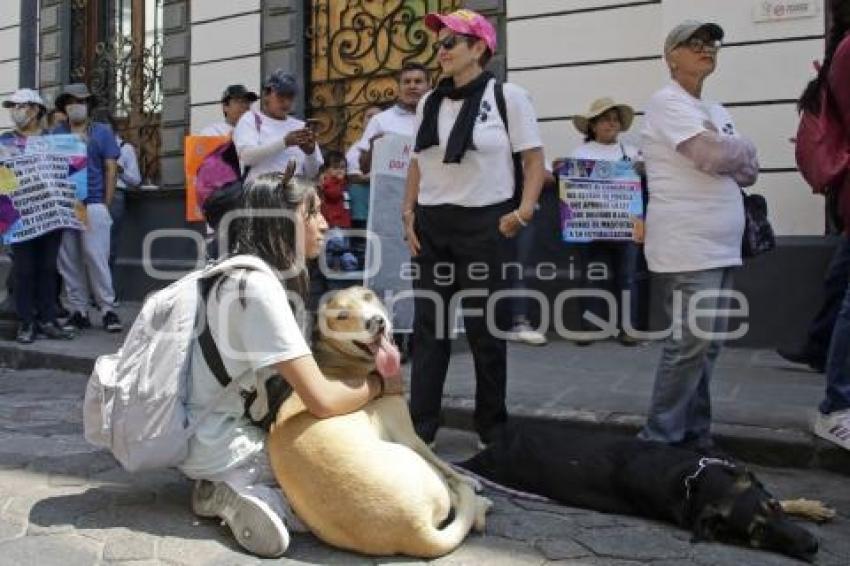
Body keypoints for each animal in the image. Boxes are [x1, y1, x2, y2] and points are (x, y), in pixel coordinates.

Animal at [264, 288, 490, 560]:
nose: (376, 322)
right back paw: (479, 503)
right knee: (459, 500)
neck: (342, 361)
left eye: (368, 297)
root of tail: (414, 531)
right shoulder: (409, 435)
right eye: (341, 316)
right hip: (413, 458)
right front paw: (469, 479)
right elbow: (444, 463)